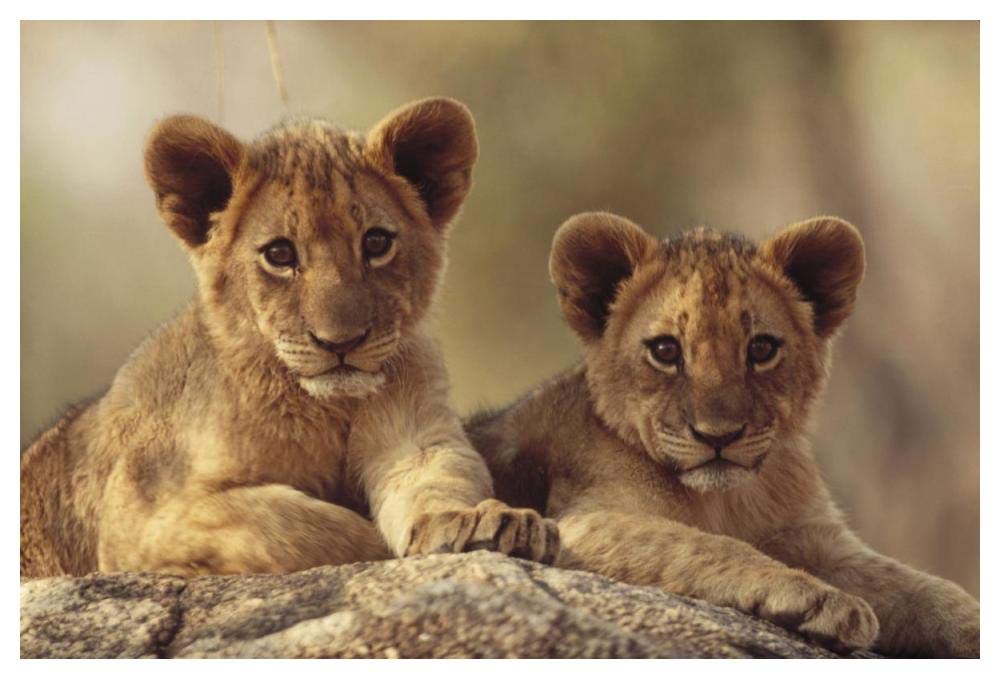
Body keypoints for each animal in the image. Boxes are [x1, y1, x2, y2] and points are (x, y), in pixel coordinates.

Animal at [20, 97, 558, 578]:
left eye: (376, 242)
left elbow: (439, 477)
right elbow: (296, 526)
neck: (329, 411)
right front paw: (380, 548)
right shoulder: (142, 514)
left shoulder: (420, 434)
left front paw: (482, 522)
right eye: (279, 254)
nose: (340, 342)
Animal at [466, 211, 979, 657]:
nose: (718, 436)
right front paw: (820, 599)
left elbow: (922, 586)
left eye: (762, 349)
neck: (728, 500)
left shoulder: (821, 539)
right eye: (665, 350)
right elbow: (706, 545)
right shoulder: (585, 524)